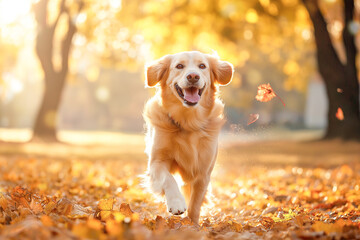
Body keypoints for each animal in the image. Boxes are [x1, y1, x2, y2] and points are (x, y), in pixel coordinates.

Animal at [143, 50, 233, 223]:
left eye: (202, 66)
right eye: (179, 66)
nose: (193, 76)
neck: (188, 122)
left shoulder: (203, 172)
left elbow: (195, 205)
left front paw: (192, 224)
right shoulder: (156, 162)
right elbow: (168, 178)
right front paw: (176, 203)